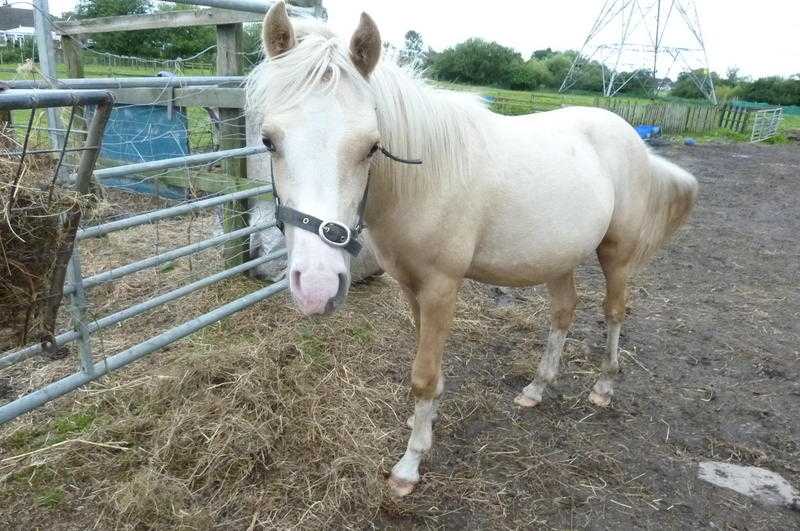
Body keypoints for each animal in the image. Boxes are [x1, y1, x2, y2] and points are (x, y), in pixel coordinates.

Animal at [247, 2, 696, 496]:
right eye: (268, 140)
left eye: (372, 146)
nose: (318, 288)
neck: (427, 179)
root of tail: (631, 137)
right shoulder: (411, 286)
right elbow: (427, 366)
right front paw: (421, 425)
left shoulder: (443, 287)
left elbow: (424, 376)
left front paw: (409, 466)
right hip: (558, 257)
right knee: (563, 313)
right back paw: (536, 389)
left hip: (615, 253)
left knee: (614, 312)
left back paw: (604, 386)